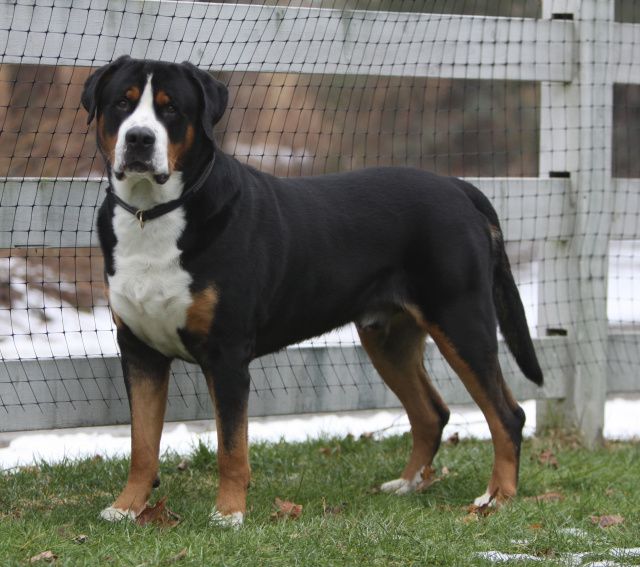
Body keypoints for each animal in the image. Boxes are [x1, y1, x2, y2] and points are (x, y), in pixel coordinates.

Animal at [81, 56, 543, 526]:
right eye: (122, 103)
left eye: (171, 108)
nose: (139, 138)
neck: (152, 215)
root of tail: (458, 186)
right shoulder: (140, 350)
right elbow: (141, 444)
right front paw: (126, 507)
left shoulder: (227, 354)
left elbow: (231, 447)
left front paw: (228, 514)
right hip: (388, 337)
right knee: (432, 412)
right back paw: (406, 484)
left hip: (461, 320)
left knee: (508, 414)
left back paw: (497, 498)